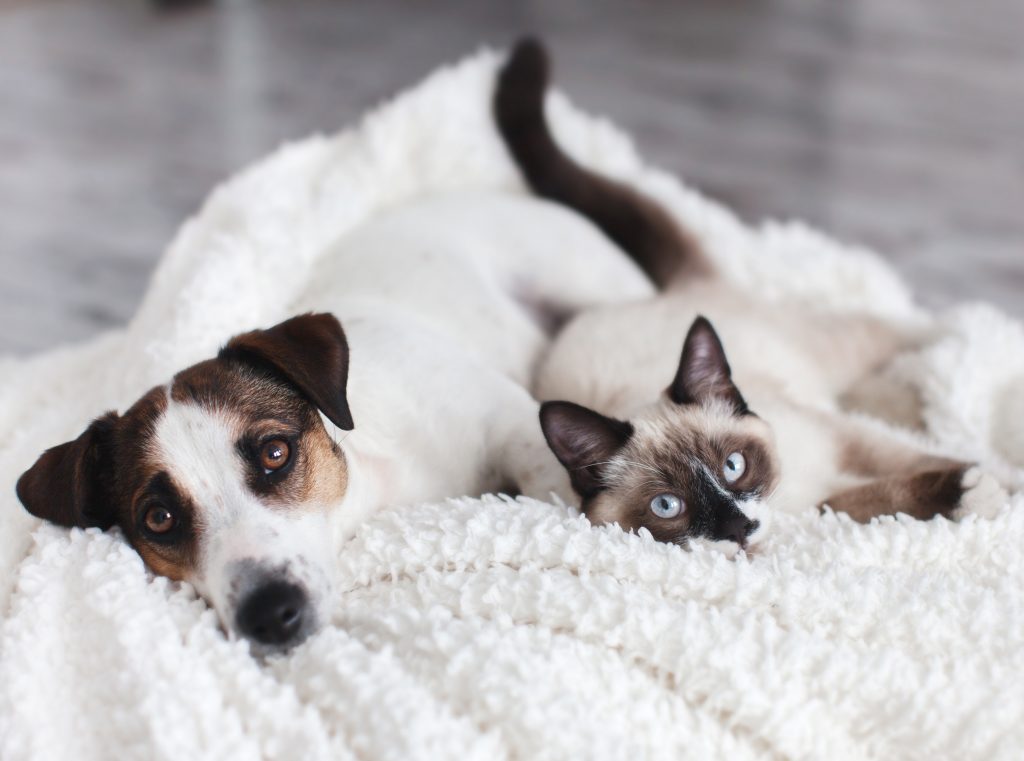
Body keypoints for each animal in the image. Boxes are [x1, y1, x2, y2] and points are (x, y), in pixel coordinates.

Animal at [491, 38, 1003, 553]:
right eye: (667, 506)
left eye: (734, 466)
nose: (738, 528)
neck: (795, 491)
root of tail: (680, 288)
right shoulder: (823, 509)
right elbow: (878, 498)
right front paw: (971, 494)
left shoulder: (843, 437)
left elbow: (911, 457)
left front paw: (996, 485)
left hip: (835, 351)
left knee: (903, 327)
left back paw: (970, 336)